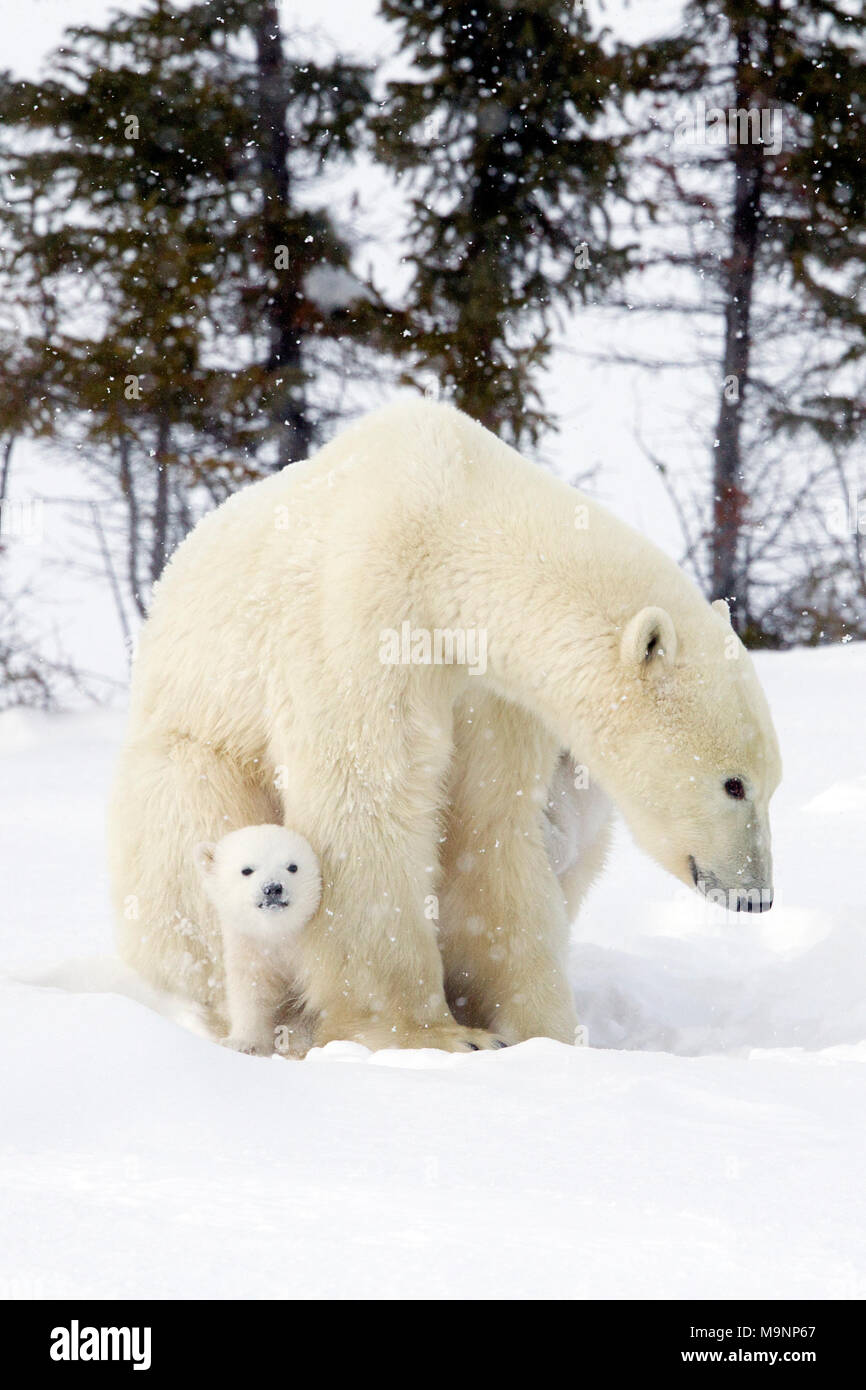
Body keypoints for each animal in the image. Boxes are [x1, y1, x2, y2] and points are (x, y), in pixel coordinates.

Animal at [111, 403, 783, 1050]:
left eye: (771, 784)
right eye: (734, 784)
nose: (756, 897)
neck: (443, 516)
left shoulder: (492, 695)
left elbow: (489, 824)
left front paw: (542, 1030)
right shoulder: (361, 615)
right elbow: (365, 798)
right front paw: (429, 1034)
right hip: (189, 774)